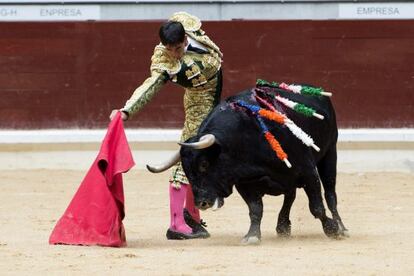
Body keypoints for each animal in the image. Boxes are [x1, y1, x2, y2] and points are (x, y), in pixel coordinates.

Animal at [150, 87, 348, 244]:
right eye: (186, 169)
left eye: (204, 164)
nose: (201, 203)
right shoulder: (244, 183)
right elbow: (255, 209)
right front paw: (252, 236)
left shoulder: (307, 171)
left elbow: (317, 207)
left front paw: (332, 229)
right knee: (290, 195)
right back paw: (283, 226)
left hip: (330, 153)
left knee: (330, 194)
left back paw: (342, 227)